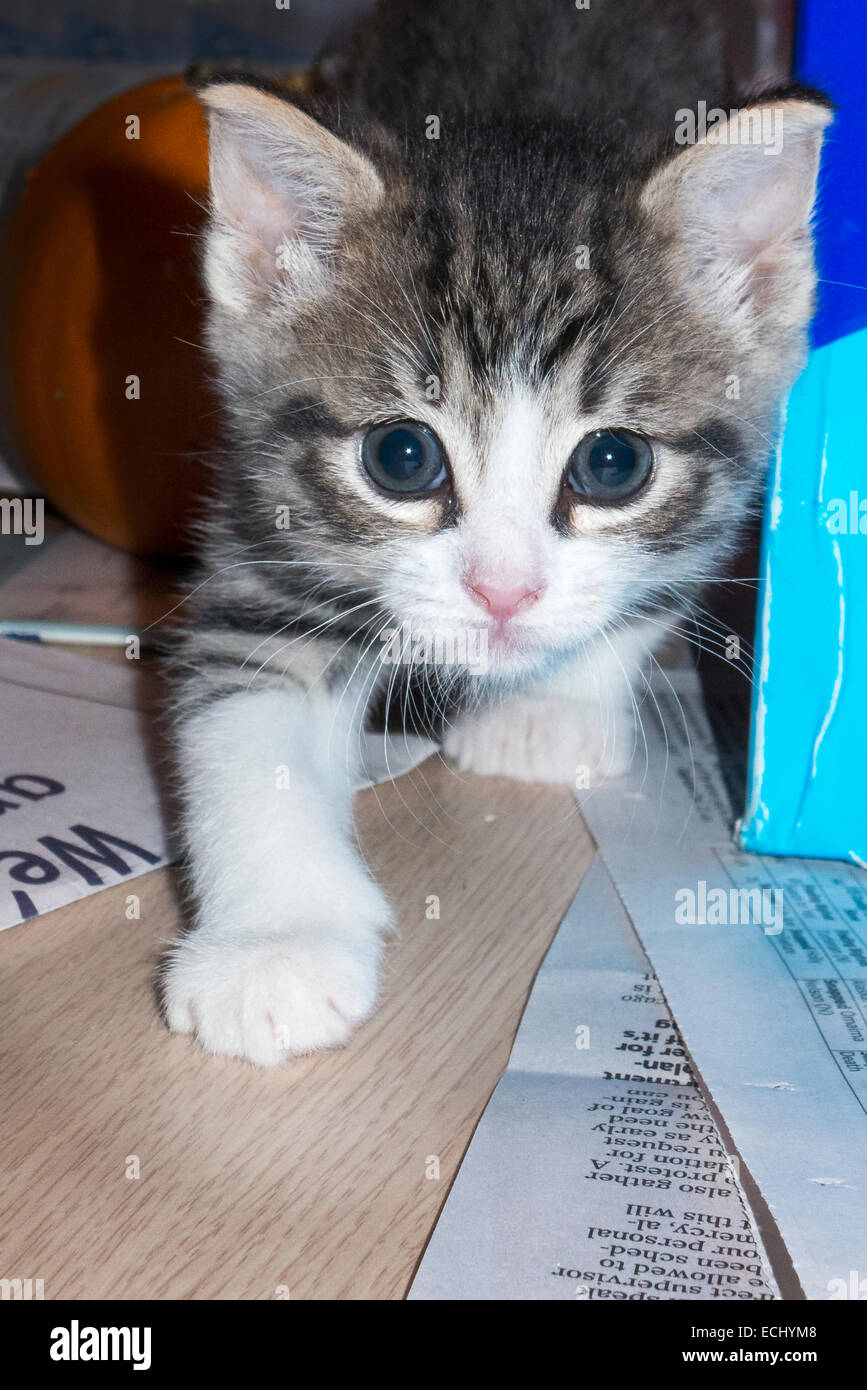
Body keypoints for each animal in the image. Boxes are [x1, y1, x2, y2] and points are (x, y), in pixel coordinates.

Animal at [163, 0, 833, 1061]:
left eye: (613, 465)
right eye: (401, 457)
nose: (503, 592)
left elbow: (654, 589)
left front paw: (549, 709)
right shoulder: (263, 522)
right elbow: (243, 712)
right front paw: (272, 947)